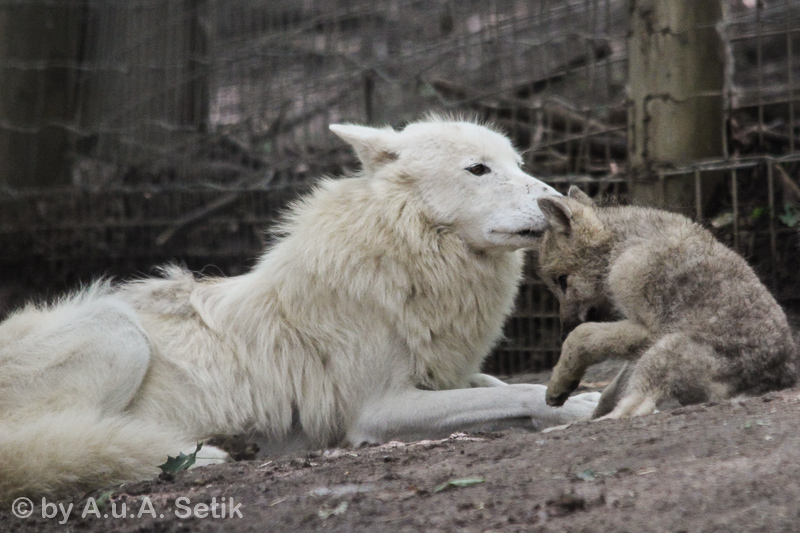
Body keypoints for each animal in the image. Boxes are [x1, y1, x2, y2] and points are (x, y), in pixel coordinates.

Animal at [0, 115, 596, 498]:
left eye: (518, 163)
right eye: (478, 169)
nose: (560, 202)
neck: (403, 255)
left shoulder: (437, 375)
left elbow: (501, 386)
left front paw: (575, 397)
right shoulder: (377, 409)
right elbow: (512, 391)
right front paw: (578, 406)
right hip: (117, 328)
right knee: (54, 445)